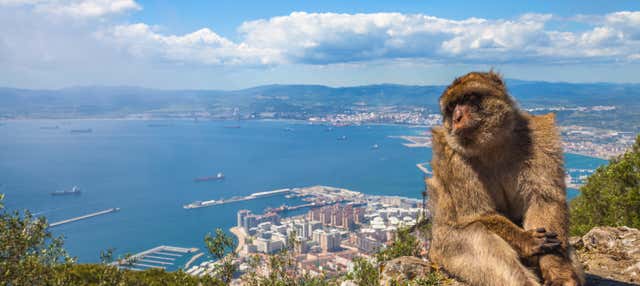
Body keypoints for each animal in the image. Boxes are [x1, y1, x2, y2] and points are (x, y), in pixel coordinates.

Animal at [424, 72, 584, 286]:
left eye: (468, 98)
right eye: (451, 107)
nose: (457, 117)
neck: (492, 144)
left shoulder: (539, 135)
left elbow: (544, 201)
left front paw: (558, 271)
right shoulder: (451, 154)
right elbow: (479, 213)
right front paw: (527, 240)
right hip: (445, 251)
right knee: (480, 235)